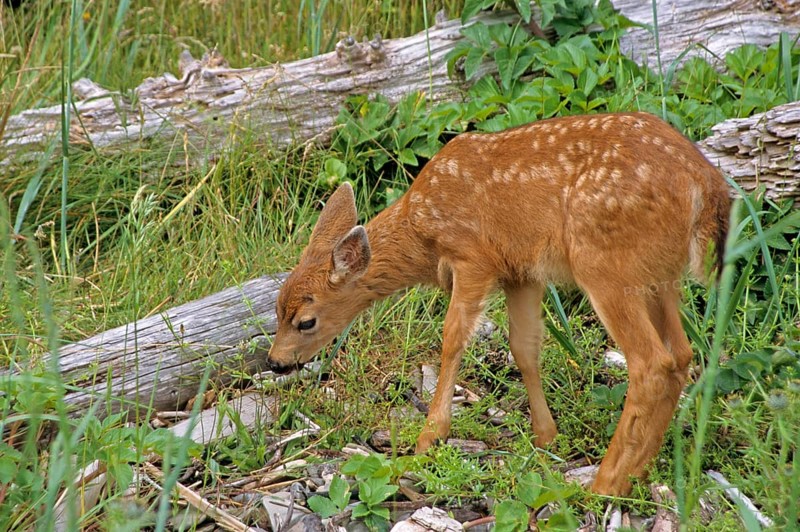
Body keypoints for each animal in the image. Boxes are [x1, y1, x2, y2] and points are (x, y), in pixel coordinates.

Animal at [267, 112, 731, 496]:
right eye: (276, 308)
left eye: (306, 321)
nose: (276, 362)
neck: (423, 231)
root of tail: (706, 186)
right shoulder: (521, 273)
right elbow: (524, 348)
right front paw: (546, 436)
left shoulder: (473, 257)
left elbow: (453, 338)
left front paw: (430, 435)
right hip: (657, 276)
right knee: (681, 355)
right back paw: (637, 471)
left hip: (604, 265)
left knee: (651, 364)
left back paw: (605, 483)